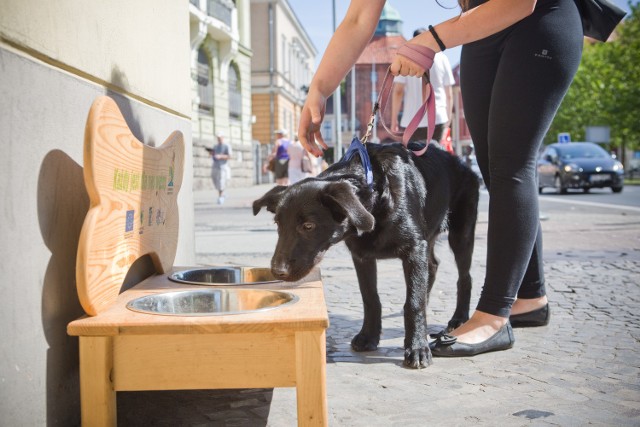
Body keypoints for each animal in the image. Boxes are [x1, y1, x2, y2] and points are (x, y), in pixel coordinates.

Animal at [252, 143, 478, 368]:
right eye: (278, 224)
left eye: (308, 226)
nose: (277, 271)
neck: (376, 199)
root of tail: (458, 161)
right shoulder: (362, 257)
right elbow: (370, 298)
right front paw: (369, 336)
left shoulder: (414, 249)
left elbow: (413, 303)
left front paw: (417, 347)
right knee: (433, 266)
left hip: (460, 235)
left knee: (464, 277)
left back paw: (459, 318)